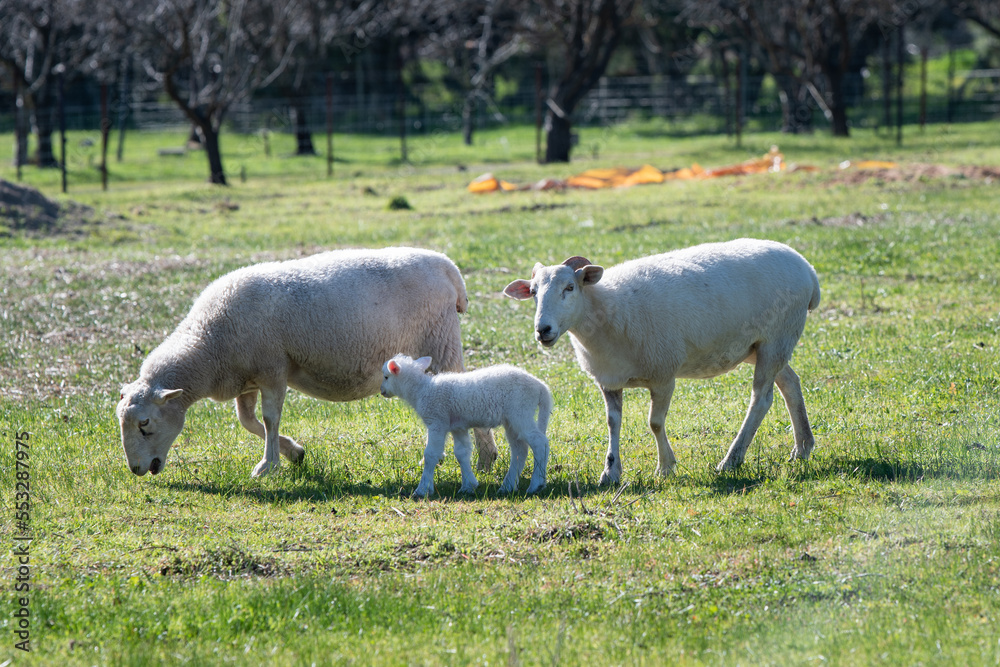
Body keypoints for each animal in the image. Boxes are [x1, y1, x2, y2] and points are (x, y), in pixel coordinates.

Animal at [116, 247, 498, 479]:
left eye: (145, 424)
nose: (135, 469)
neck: (206, 344)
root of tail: (449, 268)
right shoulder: (245, 377)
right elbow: (248, 421)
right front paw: (293, 453)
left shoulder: (272, 368)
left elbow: (269, 419)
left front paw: (267, 466)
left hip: (439, 339)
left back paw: (484, 458)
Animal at [380, 354, 552, 498]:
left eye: (386, 377)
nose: (382, 392)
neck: (422, 390)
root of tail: (540, 386)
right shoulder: (458, 426)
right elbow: (462, 453)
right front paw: (469, 485)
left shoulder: (437, 421)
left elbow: (431, 454)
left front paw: (423, 489)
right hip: (511, 420)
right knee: (519, 449)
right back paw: (508, 486)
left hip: (521, 411)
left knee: (539, 442)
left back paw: (536, 484)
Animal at [503, 238, 820, 483]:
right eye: (533, 292)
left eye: (569, 287)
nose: (543, 330)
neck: (606, 309)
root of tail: (807, 268)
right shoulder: (609, 380)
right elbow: (612, 423)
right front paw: (611, 472)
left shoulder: (663, 374)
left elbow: (654, 423)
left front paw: (665, 467)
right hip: (761, 346)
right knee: (790, 383)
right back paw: (803, 447)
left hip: (776, 338)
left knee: (761, 399)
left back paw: (731, 459)